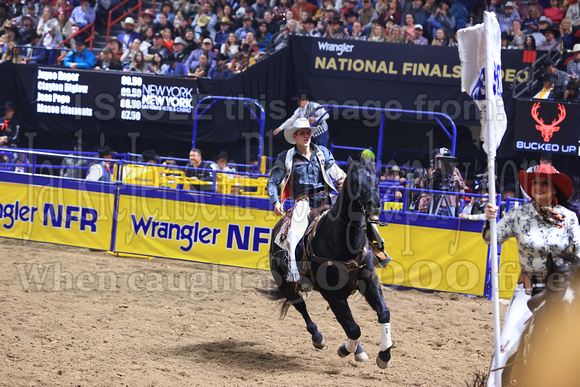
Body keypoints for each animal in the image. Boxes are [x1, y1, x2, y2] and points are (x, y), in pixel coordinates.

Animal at [260, 158, 392, 370]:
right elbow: (354, 329)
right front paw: (345, 349)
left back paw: (358, 349)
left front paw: (384, 355)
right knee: (300, 306)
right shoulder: (333, 294)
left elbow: (383, 313)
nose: (375, 205)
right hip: (286, 283)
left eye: (378, 180)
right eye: (355, 182)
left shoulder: (370, 280)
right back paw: (318, 337)